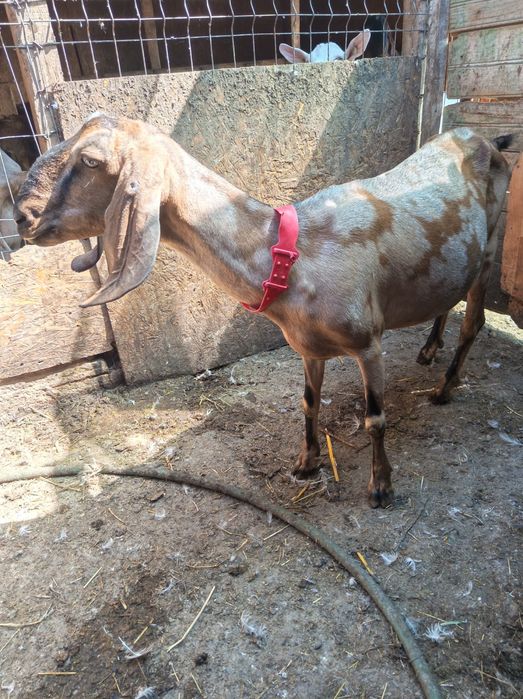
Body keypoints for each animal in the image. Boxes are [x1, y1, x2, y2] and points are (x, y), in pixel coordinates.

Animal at [14, 115, 512, 507]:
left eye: (91, 161)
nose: (22, 218)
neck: (291, 257)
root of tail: (487, 139)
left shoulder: (368, 342)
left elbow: (375, 418)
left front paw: (381, 487)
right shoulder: (308, 348)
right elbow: (309, 402)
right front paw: (306, 463)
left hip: (491, 244)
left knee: (474, 321)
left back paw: (445, 387)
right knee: (449, 299)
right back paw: (429, 350)